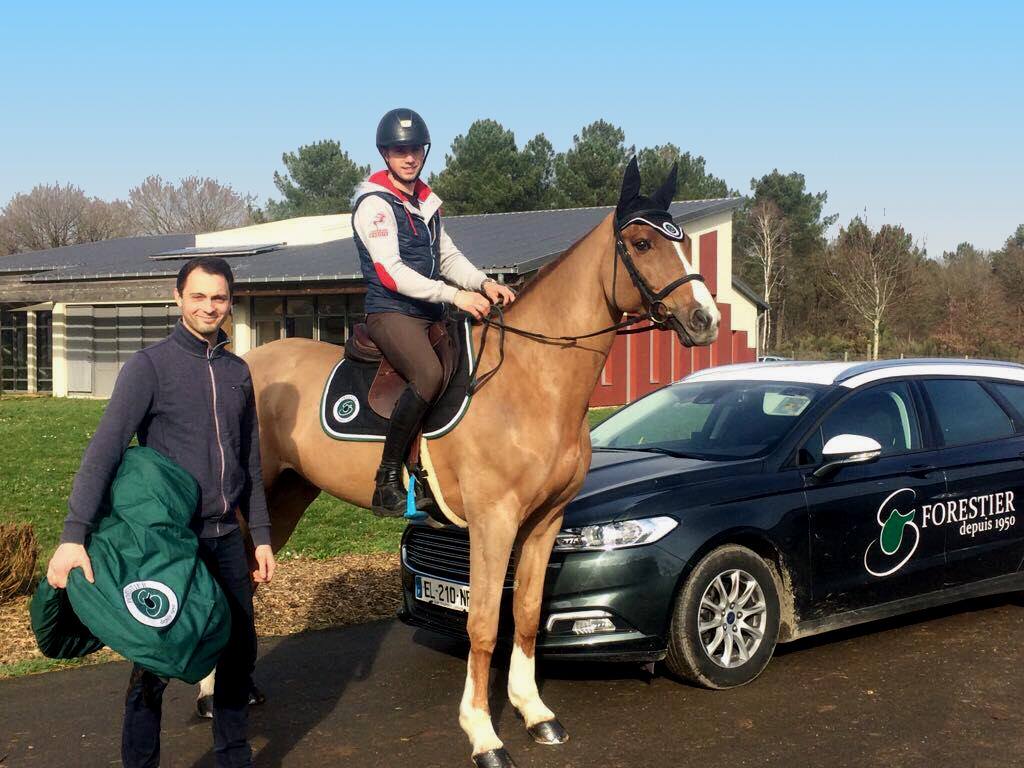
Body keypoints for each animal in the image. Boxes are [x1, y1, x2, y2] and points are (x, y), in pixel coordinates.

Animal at [240, 159, 720, 765]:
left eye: (685, 244)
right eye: (641, 242)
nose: (705, 320)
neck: (531, 379)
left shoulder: (545, 522)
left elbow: (528, 615)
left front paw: (535, 712)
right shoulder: (494, 522)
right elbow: (485, 624)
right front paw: (483, 734)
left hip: (285, 500)